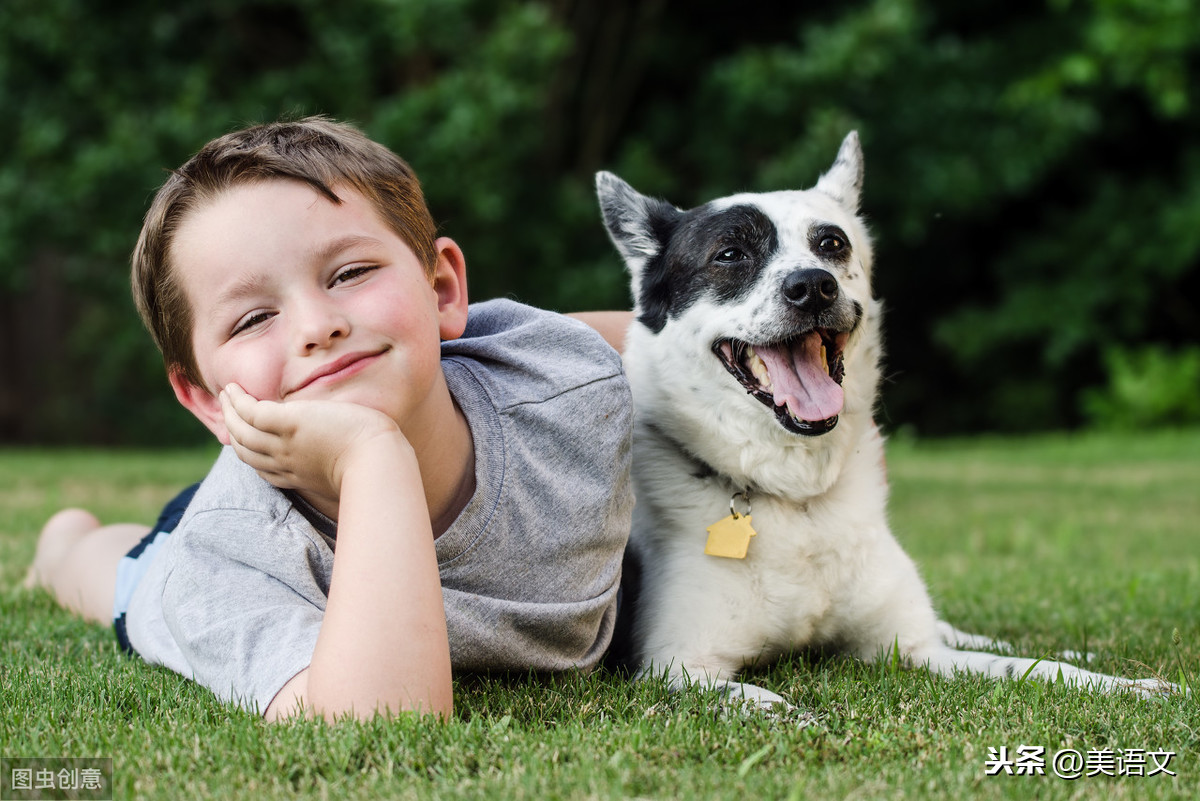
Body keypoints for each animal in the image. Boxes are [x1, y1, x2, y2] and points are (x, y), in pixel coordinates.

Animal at [597, 133, 1171, 714]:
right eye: (730, 254)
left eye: (831, 243)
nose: (813, 286)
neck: (799, 499)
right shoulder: (678, 667)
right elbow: (767, 705)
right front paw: (802, 721)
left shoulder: (914, 648)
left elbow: (1034, 669)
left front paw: (1126, 685)